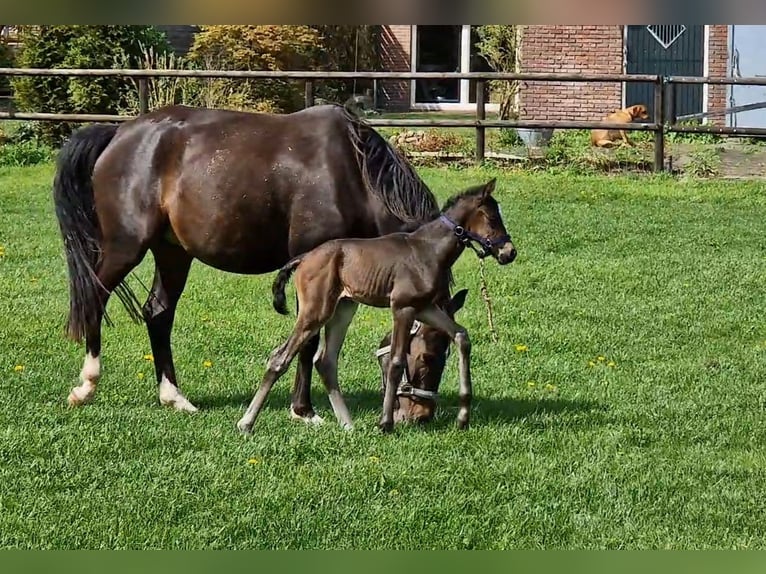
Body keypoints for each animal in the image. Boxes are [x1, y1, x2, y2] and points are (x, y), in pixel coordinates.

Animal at [237, 178, 520, 434]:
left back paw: (348, 425)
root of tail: (304, 258)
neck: (428, 250)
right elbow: (396, 361)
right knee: (280, 357)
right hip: (315, 311)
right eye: (492, 218)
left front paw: (463, 417)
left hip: (344, 308)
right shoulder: (402, 307)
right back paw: (246, 423)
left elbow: (461, 335)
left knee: (326, 360)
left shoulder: (425, 308)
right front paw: (385, 423)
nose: (509, 252)